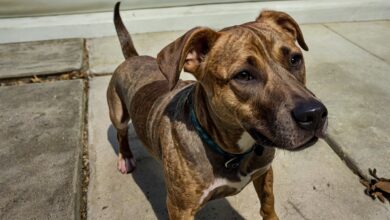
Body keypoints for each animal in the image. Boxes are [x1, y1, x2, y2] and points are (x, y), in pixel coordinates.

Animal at [107, 2, 330, 220]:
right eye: (244, 75)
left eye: (295, 59)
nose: (314, 114)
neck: (232, 152)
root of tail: (133, 58)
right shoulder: (180, 209)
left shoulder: (264, 172)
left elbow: (268, 204)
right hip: (118, 114)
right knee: (121, 134)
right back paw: (125, 158)